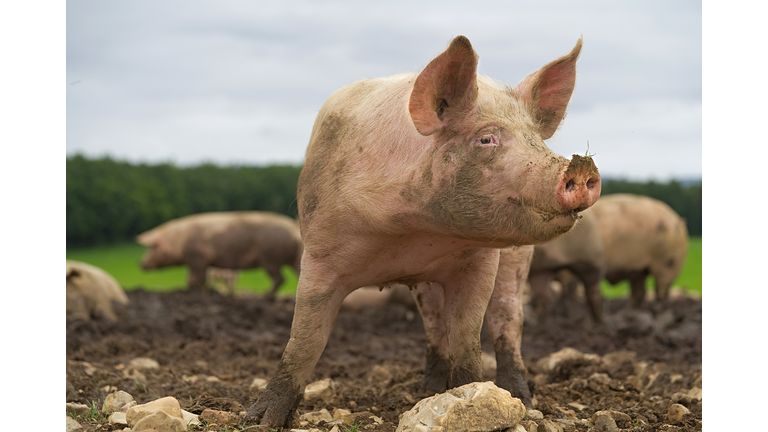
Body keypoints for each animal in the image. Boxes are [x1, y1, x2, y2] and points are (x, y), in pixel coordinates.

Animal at [135, 211, 304, 298]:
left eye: (153, 248)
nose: (140, 264)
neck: (179, 240)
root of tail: (294, 231)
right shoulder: (193, 261)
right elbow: (190, 279)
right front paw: (188, 291)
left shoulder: (198, 257)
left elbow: (200, 279)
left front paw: (203, 293)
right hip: (294, 258)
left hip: (270, 258)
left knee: (280, 279)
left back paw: (265, 297)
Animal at [243, 34, 604, 428]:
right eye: (486, 139)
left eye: (538, 140)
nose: (581, 165)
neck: (413, 236)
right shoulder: (319, 253)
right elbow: (305, 340)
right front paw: (260, 421)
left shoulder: (481, 262)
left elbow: (467, 335)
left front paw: (472, 397)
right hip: (426, 284)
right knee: (433, 322)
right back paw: (428, 390)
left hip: (518, 258)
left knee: (508, 318)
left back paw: (519, 395)